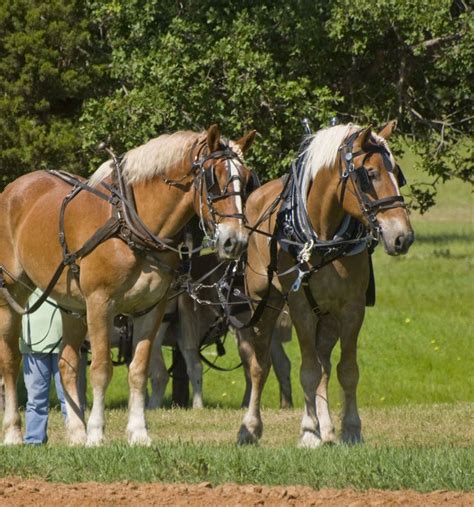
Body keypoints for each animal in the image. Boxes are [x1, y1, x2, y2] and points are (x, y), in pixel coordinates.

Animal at [0, 125, 256, 446]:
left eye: (246, 178)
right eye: (213, 178)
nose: (236, 241)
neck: (130, 223)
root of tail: (13, 189)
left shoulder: (151, 309)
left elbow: (139, 370)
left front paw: (138, 432)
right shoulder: (100, 303)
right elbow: (101, 370)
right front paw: (96, 434)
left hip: (72, 306)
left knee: (66, 364)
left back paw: (76, 432)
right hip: (13, 292)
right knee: (10, 361)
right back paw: (13, 432)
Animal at [239, 121, 412, 446]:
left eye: (397, 173)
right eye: (369, 175)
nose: (403, 237)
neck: (323, 238)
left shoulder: (352, 309)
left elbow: (347, 370)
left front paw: (351, 430)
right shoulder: (301, 309)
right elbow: (306, 370)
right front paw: (308, 432)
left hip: (328, 317)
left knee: (325, 367)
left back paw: (328, 428)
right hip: (264, 304)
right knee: (260, 365)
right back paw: (250, 427)